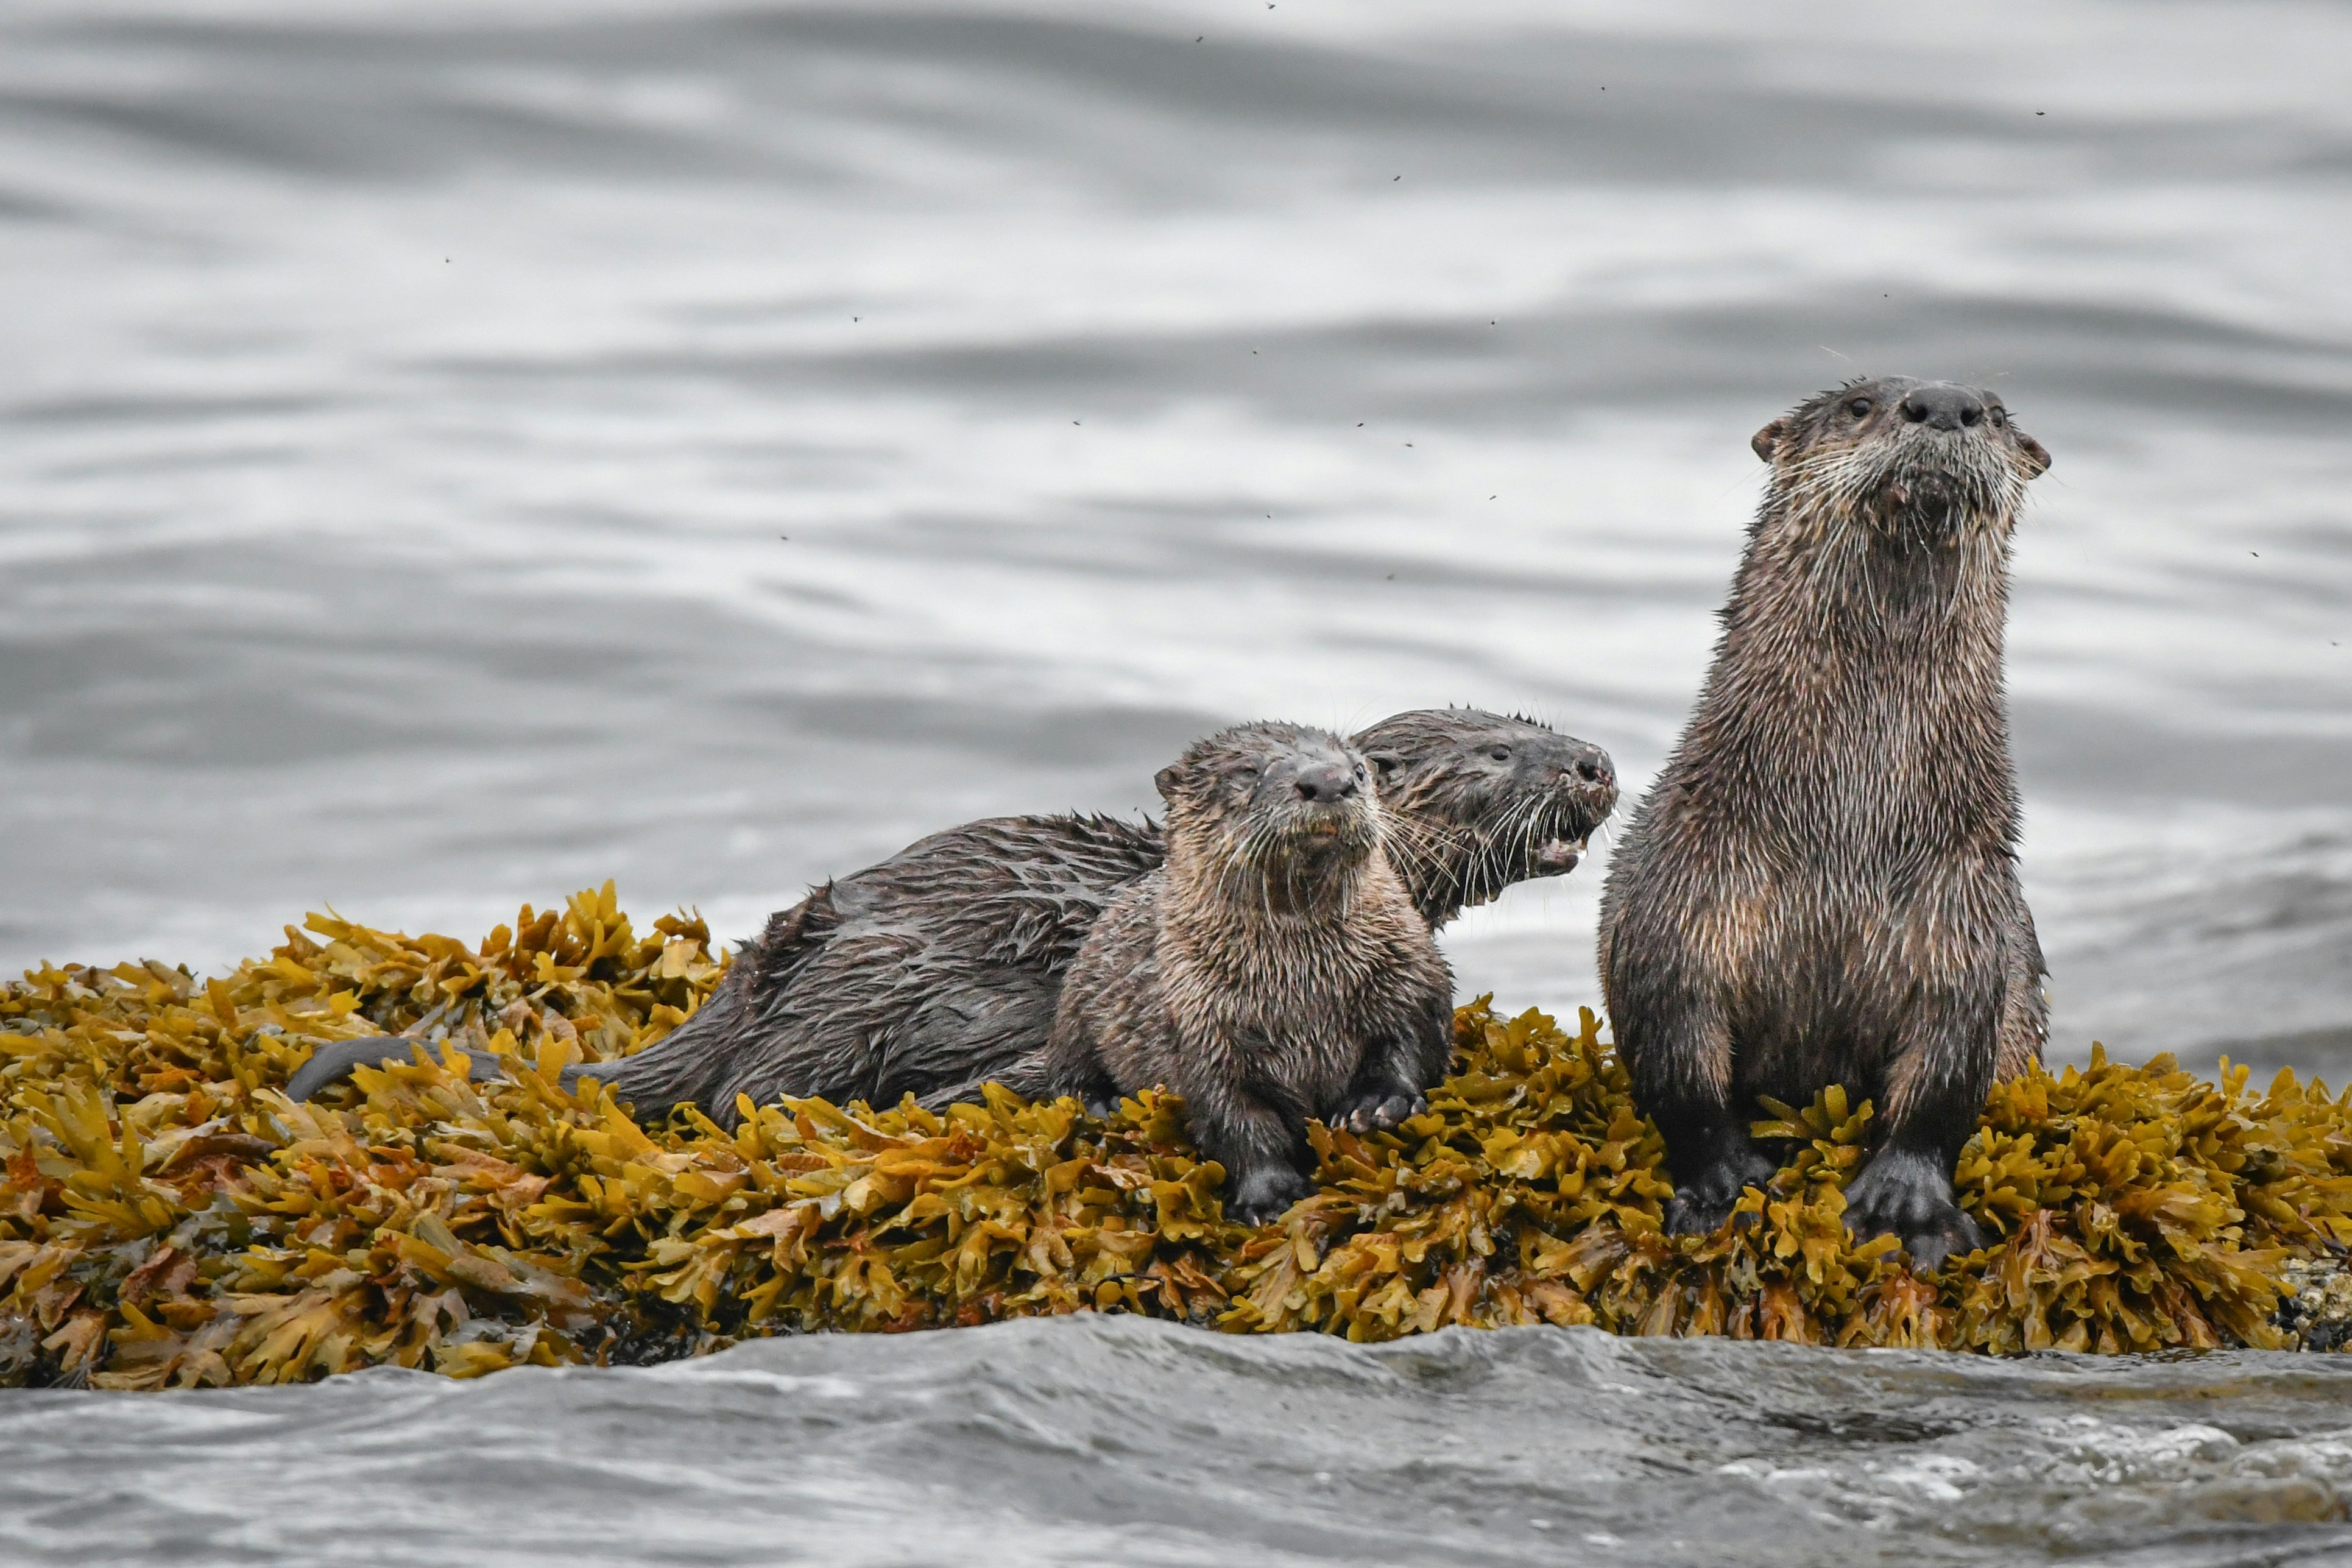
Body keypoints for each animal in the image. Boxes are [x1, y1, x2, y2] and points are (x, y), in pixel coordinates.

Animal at [1035, 722, 1455, 1221]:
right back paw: (1102, 1103)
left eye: (1358, 770)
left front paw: (1376, 1105)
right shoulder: (1198, 1028)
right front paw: (1269, 1196)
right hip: (1075, 1009)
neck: (1303, 994)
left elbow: (1408, 1043)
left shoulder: (1407, 975)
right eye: (1248, 771)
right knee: (1067, 1074)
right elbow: (1235, 1119)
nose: (1329, 781)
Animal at [1597, 376, 2051, 1270]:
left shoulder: (1966, 915)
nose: (1942, 402)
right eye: (1859, 404)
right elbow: (1678, 1065)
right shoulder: (1678, 900)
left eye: (1991, 410)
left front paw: (1908, 1207)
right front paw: (1727, 1185)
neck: (1846, 833)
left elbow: (1946, 1078)